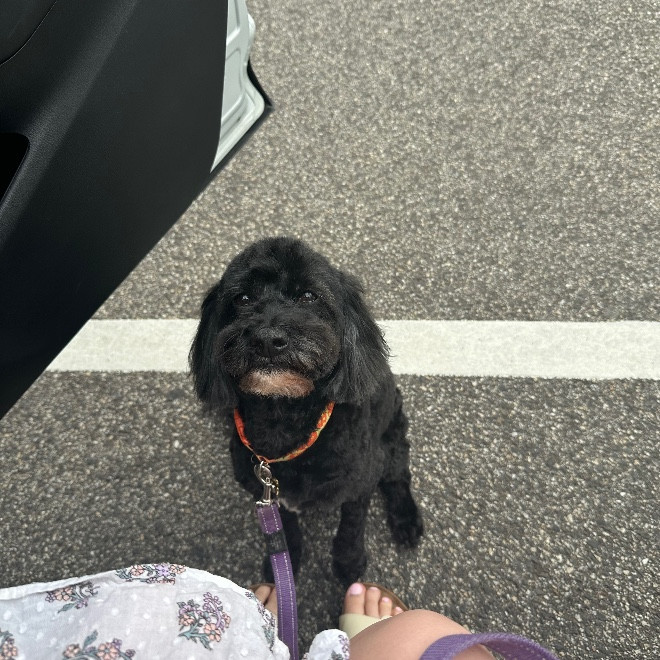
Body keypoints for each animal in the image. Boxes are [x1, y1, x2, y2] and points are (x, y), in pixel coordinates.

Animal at [190, 237, 423, 584]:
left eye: (309, 296)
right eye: (242, 299)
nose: (267, 339)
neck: (281, 421)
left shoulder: (360, 484)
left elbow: (350, 530)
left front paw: (349, 566)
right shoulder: (272, 495)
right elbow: (287, 531)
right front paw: (286, 565)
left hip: (392, 439)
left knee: (398, 476)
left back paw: (407, 520)